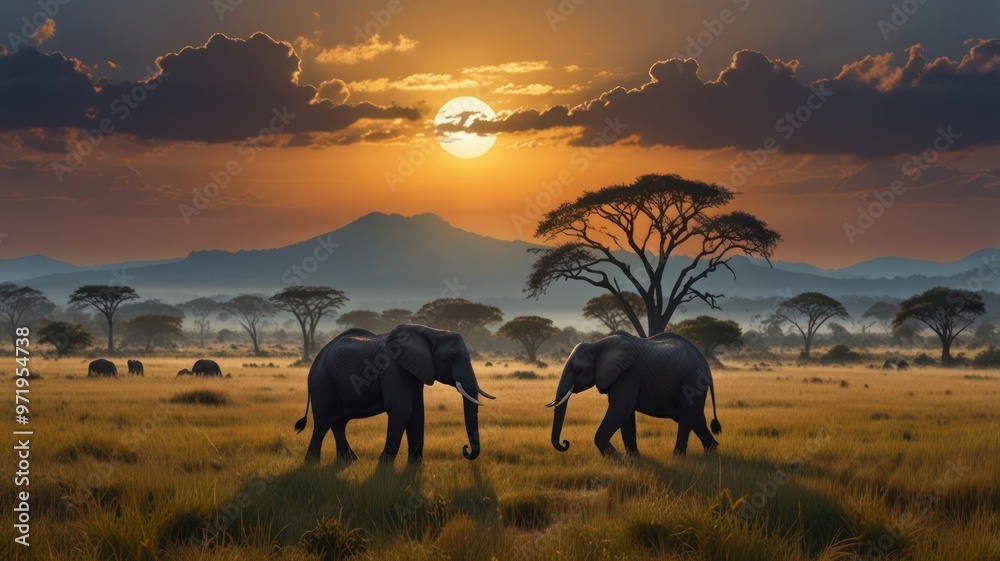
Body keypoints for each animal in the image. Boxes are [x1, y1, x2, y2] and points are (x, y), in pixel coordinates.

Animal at [293, 325, 495, 464]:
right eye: (452, 358)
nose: (465, 449)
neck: (431, 331)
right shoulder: (392, 368)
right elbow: (402, 409)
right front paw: (384, 465)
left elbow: (417, 413)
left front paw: (415, 466)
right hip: (323, 383)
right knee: (322, 422)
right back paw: (311, 463)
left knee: (338, 423)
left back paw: (349, 460)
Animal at [547, 331, 721, 457]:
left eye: (578, 370)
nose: (565, 442)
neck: (596, 345)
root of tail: (706, 364)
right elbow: (625, 414)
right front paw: (633, 457)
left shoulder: (628, 374)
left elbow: (621, 409)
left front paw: (615, 457)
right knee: (696, 419)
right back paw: (712, 450)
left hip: (691, 381)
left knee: (686, 417)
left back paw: (677, 456)